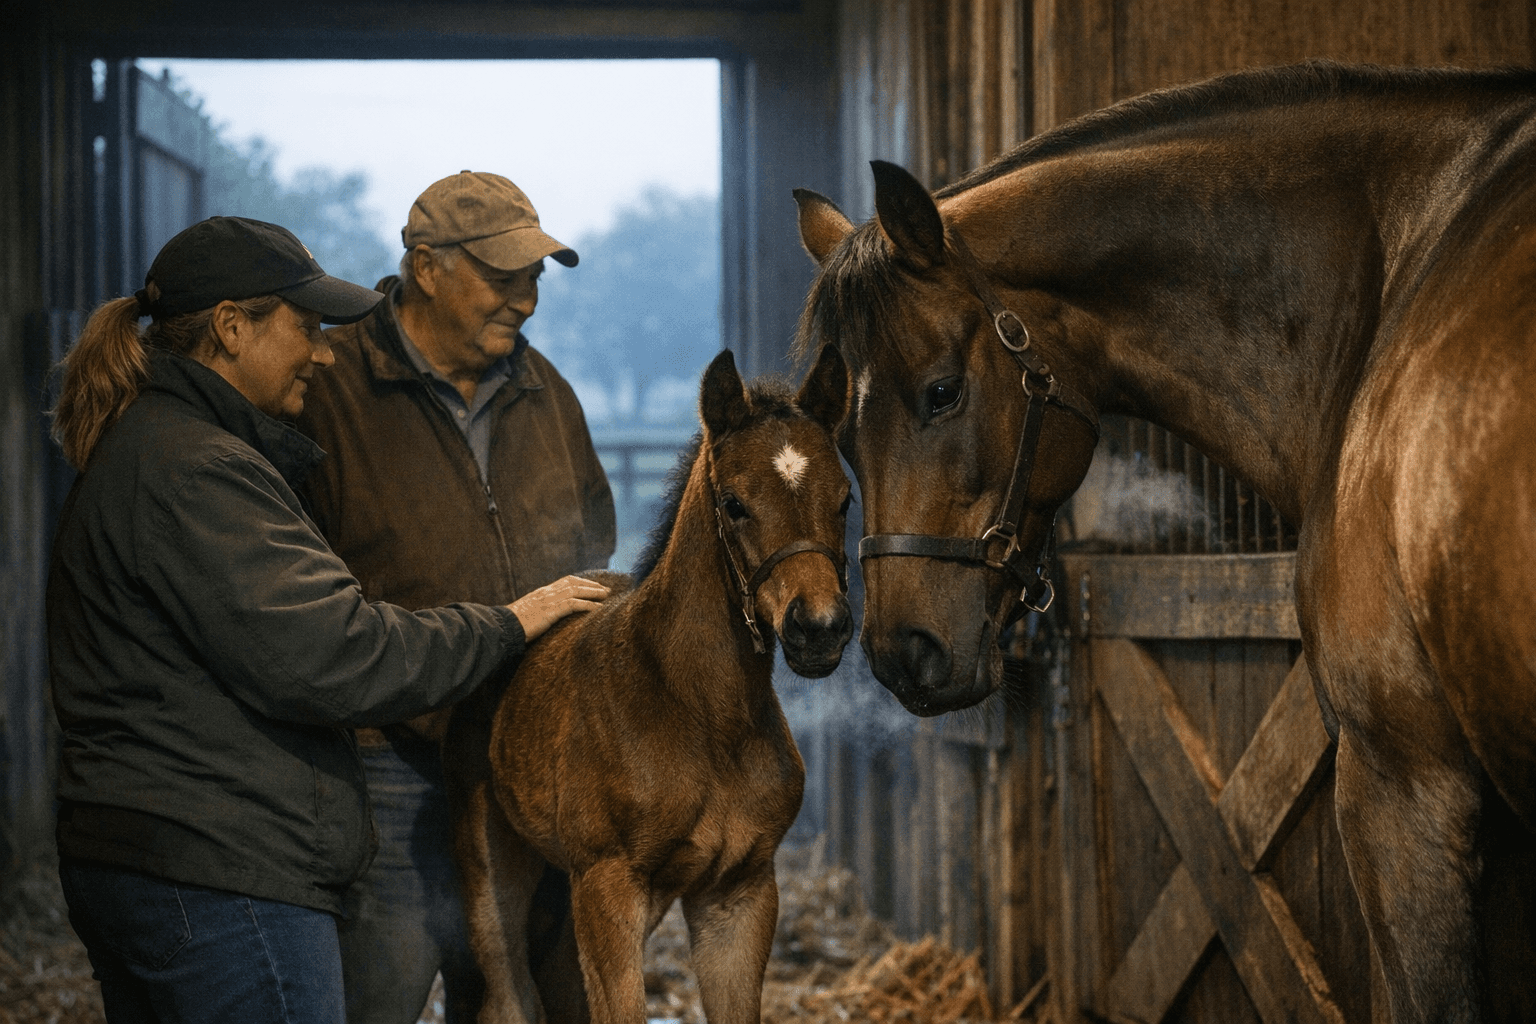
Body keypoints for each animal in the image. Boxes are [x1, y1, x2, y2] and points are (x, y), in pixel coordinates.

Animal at [444, 345, 853, 1024]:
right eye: (734, 503)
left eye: (845, 499)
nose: (818, 627)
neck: (702, 715)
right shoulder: (608, 886)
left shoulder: (739, 892)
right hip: (493, 869)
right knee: (510, 994)